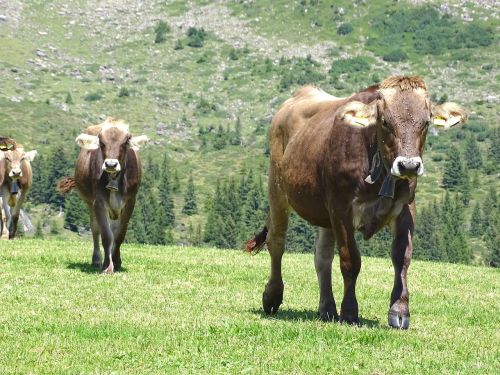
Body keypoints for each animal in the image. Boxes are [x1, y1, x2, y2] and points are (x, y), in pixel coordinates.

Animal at [57, 117, 146, 274]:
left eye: (125, 142)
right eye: (102, 143)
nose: (111, 164)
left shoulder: (130, 201)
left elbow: (119, 234)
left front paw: (116, 262)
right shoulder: (98, 201)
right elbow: (105, 234)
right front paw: (107, 266)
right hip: (89, 202)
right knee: (95, 228)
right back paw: (96, 259)